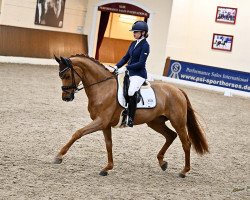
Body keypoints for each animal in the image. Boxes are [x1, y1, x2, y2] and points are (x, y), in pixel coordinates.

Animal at [53, 54, 208, 177]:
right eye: (60, 76)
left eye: (67, 76)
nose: (66, 98)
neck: (102, 88)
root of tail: (178, 90)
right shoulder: (105, 124)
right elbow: (109, 144)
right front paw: (107, 168)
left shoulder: (101, 121)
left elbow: (78, 133)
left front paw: (59, 156)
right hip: (155, 122)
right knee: (170, 136)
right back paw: (162, 162)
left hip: (178, 122)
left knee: (186, 143)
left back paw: (184, 171)